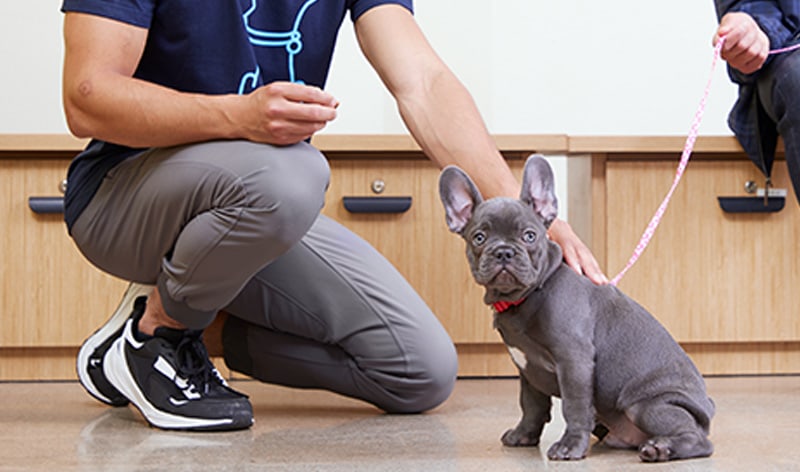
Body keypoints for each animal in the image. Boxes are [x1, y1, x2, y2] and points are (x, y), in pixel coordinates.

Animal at [440, 154, 716, 460]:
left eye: (529, 236)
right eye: (479, 238)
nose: (503, 251)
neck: (528, 295)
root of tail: (706, 410)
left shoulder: (573, 361)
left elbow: (574, 406)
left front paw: (570, 446)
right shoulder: (528, 371)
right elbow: (531, 405)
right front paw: (524, 435)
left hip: (646, 405)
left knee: (698, 440)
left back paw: (661, 448)